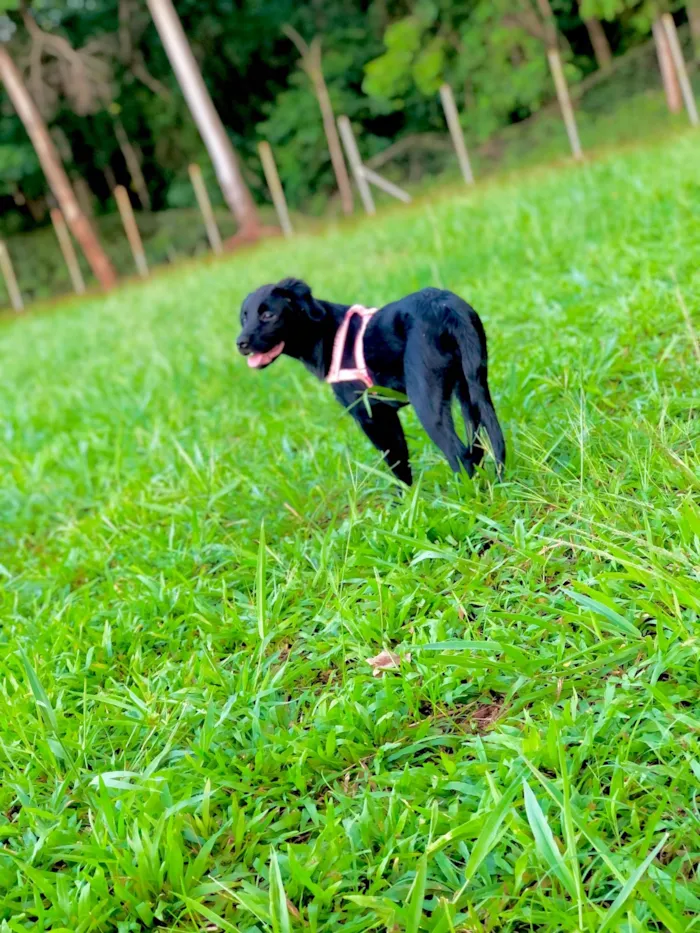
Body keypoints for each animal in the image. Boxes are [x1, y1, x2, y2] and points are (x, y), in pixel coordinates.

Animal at [238, 278, 506, 488]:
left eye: (268, 315)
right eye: (244, 317)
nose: (240, 343)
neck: (327, 334)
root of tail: (445, 307)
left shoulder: (371, 415)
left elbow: (397, 465)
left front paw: (405, 506)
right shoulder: (385, 413)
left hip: (427, 401)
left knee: (460, 454)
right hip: (472, 386)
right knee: (482, 445)